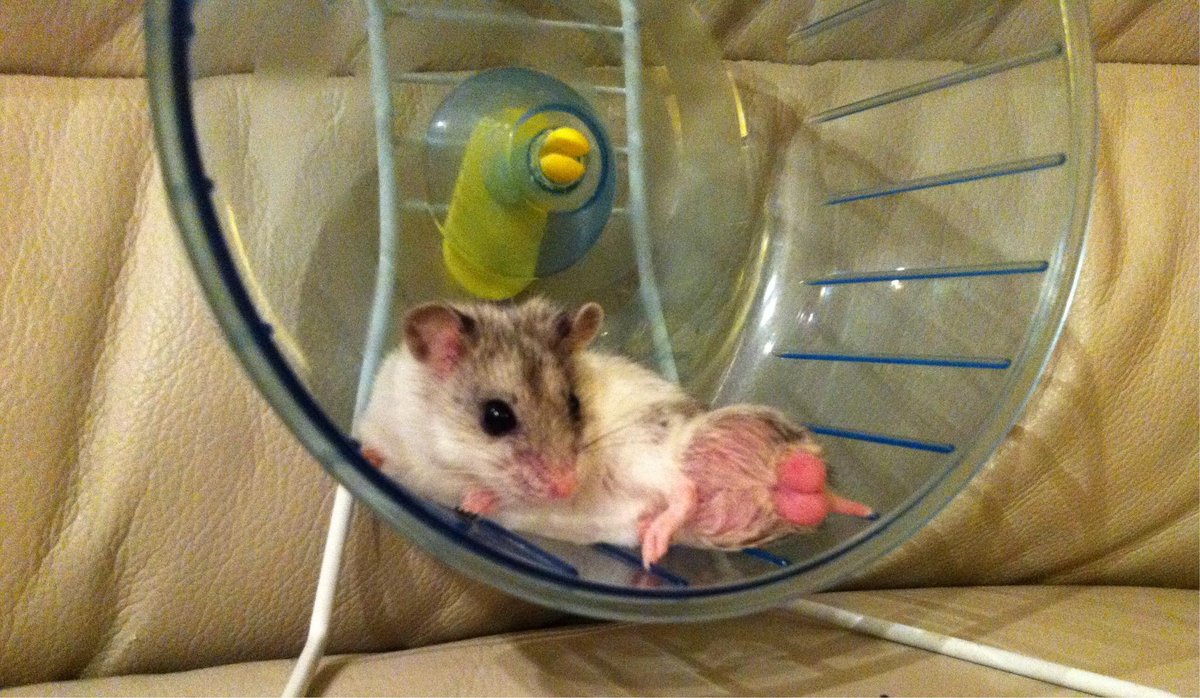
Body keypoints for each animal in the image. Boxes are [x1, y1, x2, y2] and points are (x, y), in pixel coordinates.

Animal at [356, 297, 874, 567]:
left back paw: (655, 545)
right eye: (495, 417)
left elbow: (494, 494)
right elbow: (379, 453)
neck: (432, 454)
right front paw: (365, 458)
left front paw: (474, 501)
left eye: (574, 404)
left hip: (641, 455)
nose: (567, 486)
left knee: (683, 491)